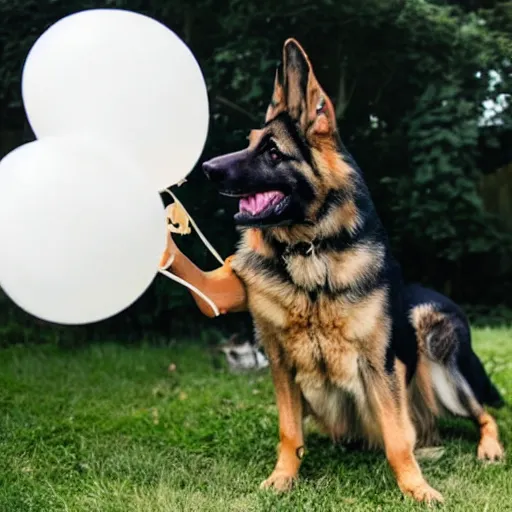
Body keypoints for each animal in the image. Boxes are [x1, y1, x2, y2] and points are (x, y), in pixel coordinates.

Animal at [164, 39, 504, 504]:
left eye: (272, 152)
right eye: (250, 144)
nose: (207, 169)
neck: (310, 253)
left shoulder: (380, 368)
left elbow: (398, 438)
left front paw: (416, 488)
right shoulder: (276, 359)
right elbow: (289, 432)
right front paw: (283, 477)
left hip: (438, 353)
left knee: (484, 414)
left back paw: (488, 448)